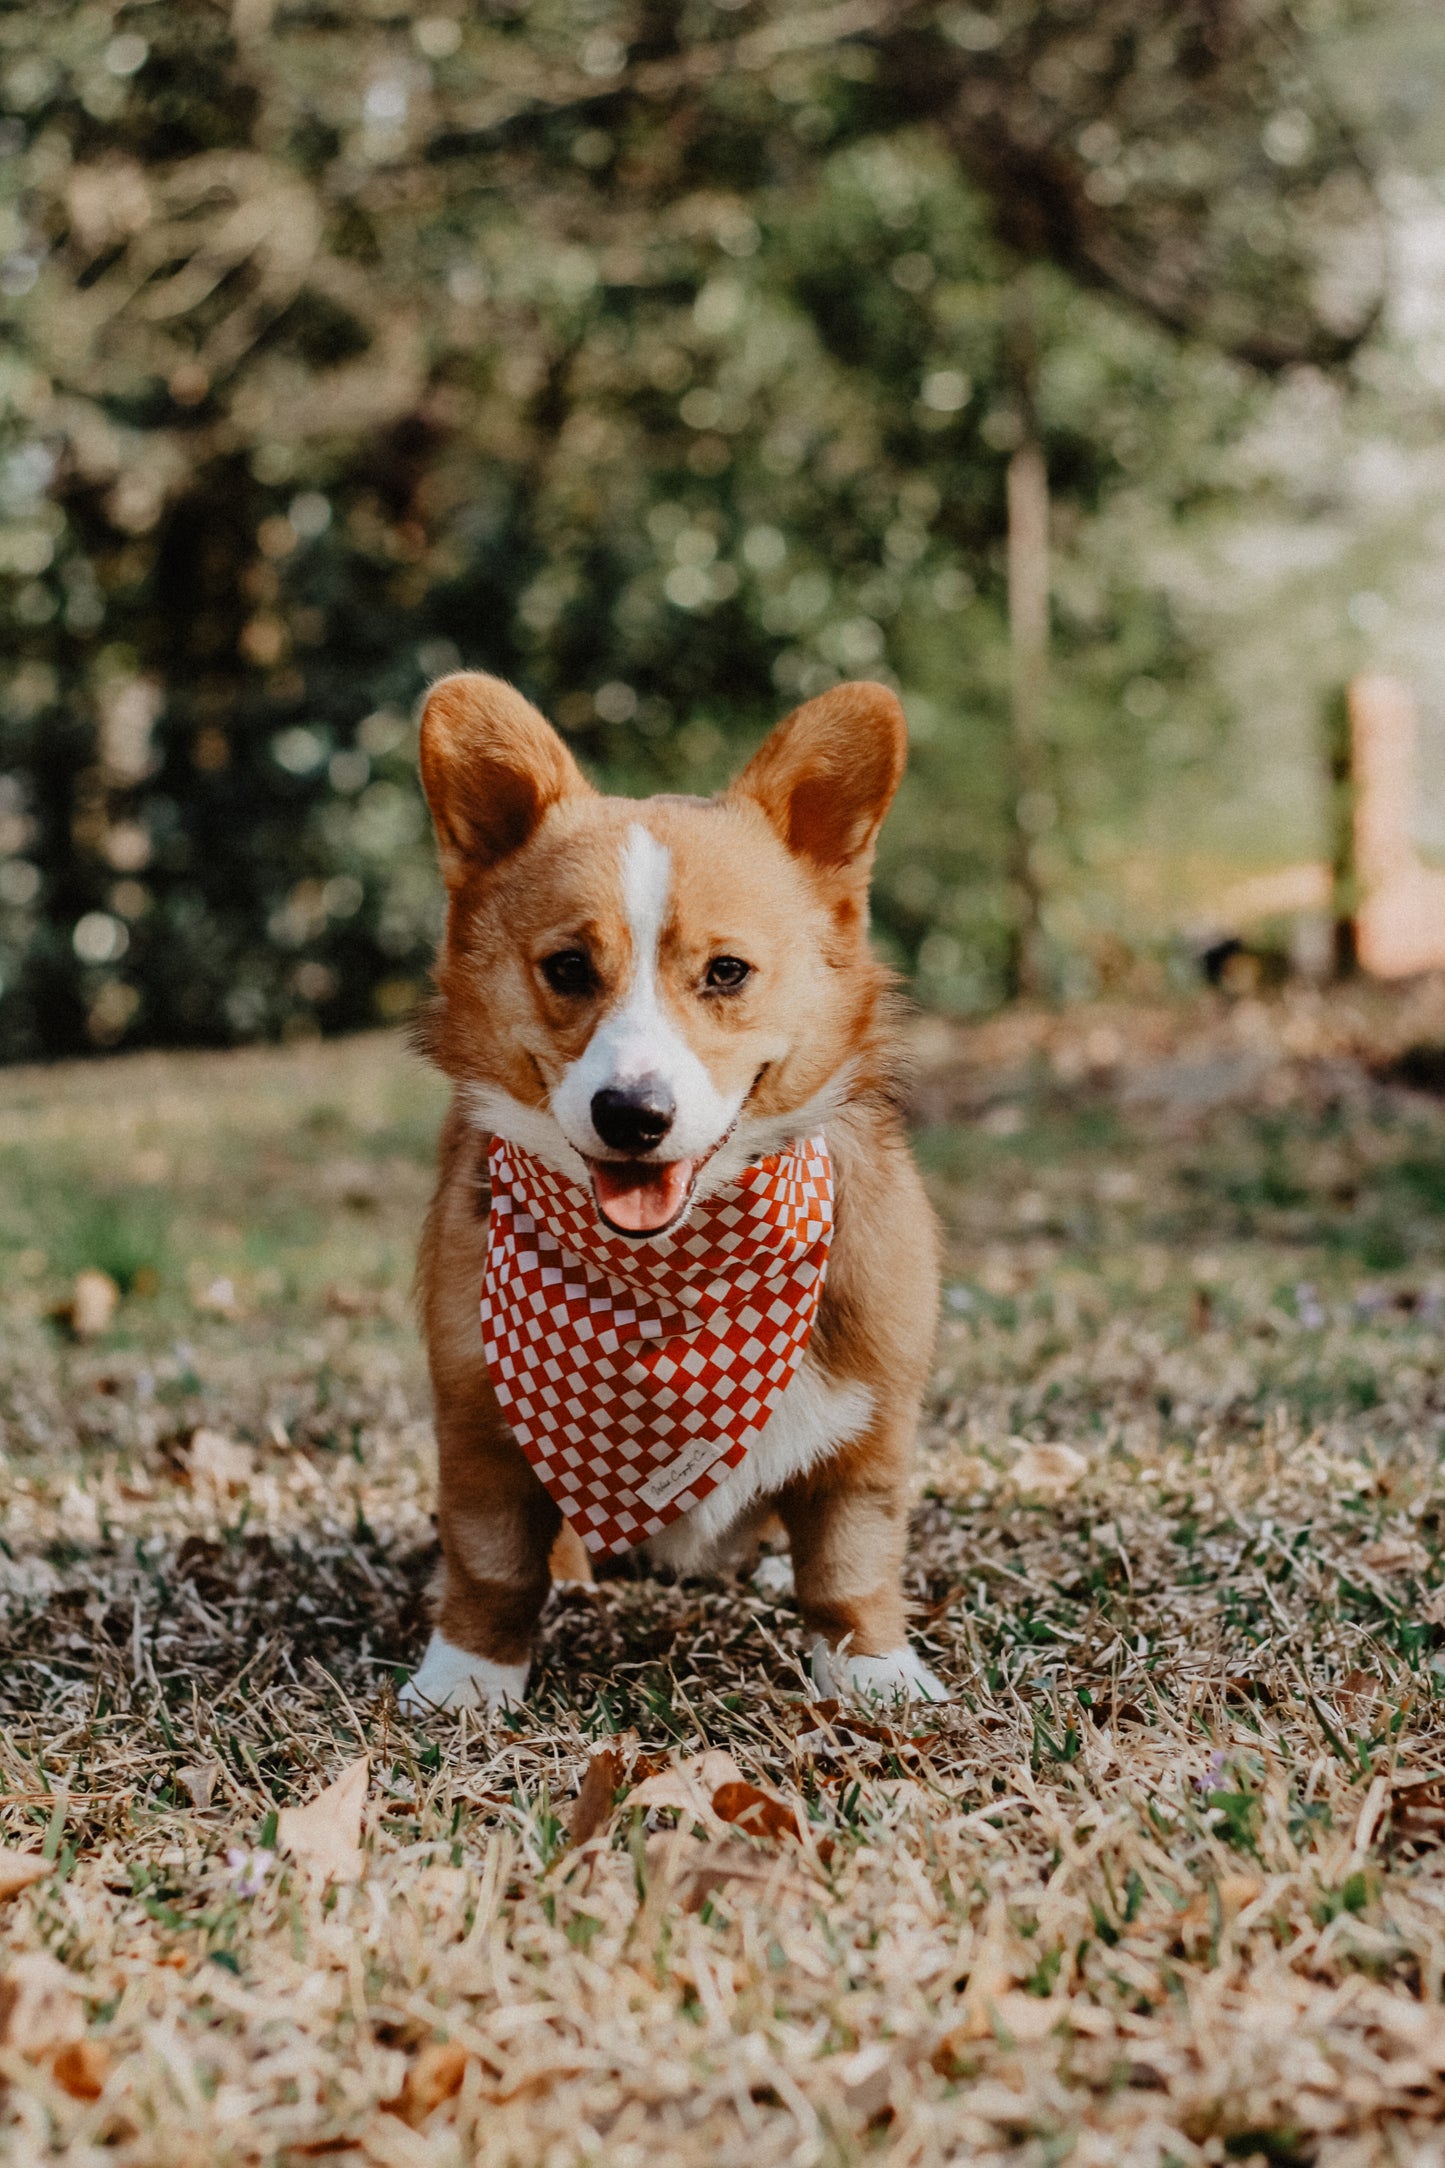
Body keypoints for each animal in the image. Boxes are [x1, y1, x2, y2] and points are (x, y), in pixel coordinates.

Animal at [405, 672, 948, 1708]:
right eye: (568, 968)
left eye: (726, 972)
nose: (632, 1115)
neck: (673, 1276)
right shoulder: (477, 1419)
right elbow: (491, 1566)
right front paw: (466, 1678)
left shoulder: (870, 1426)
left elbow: (852, 1564)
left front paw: (873, 1673)